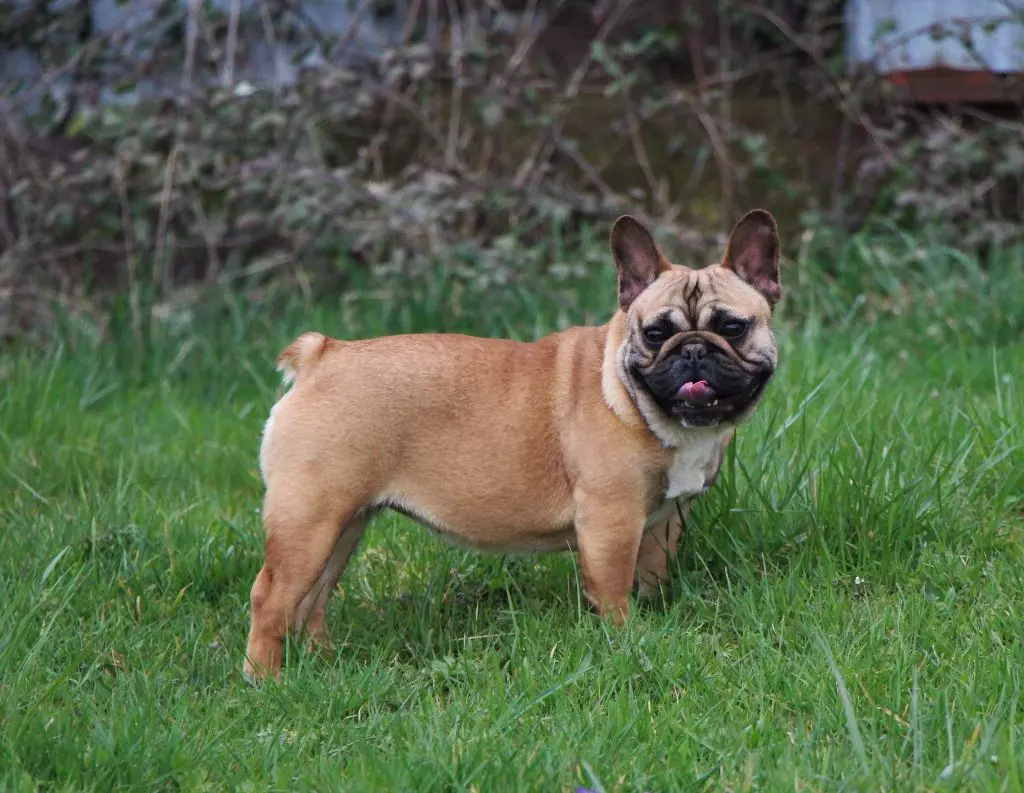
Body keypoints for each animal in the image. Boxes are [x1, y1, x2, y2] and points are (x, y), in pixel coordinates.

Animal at [244, 210, 782, 680]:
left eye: (733, 327)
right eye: (654, 334)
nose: (693, 350)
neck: (631, 395)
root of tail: (322, 356)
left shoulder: (665, 520)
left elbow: (652, 575)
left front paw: (654, 616)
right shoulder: (611, 521)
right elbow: (613, 590)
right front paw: (627, 639)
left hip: (343, 524)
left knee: (312, 598)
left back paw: (323, 662)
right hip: (309, 519)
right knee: (271, 596)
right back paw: (265, 680)